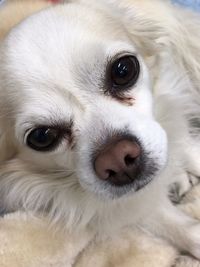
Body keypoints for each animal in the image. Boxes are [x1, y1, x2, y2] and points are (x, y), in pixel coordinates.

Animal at [0, 0, 200, 260]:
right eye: (42, 137)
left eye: (124, 70)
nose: (117, 159)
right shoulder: (123, 205)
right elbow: (173, 224)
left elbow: (190, 148)